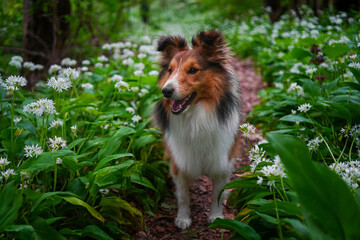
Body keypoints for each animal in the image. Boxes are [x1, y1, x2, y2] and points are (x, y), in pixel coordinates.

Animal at [153, 29, 242, 229]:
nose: (166, 91)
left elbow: (217, 193)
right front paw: (183, 218)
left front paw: (216, 217)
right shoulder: (178, 161)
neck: (196, 118)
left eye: (193, 70)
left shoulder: (221, 162)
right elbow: (183, 196)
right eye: (170, 70)